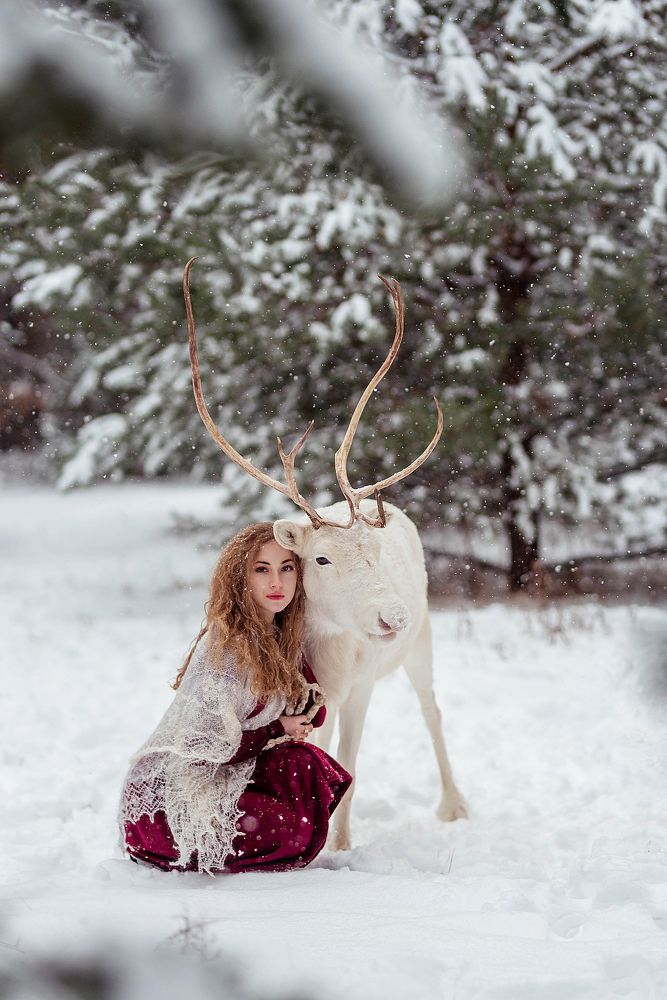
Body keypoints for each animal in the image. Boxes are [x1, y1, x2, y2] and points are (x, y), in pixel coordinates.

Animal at [183, 257, 468, 850]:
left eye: (373, 550)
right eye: (320, 559)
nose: (394, 616)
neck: (325, 645)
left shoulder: (358, 685)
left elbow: (350, 764)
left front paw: (340, 847)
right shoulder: (308, 696)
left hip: (423, 644)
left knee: (432, 709)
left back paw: (453, 804)